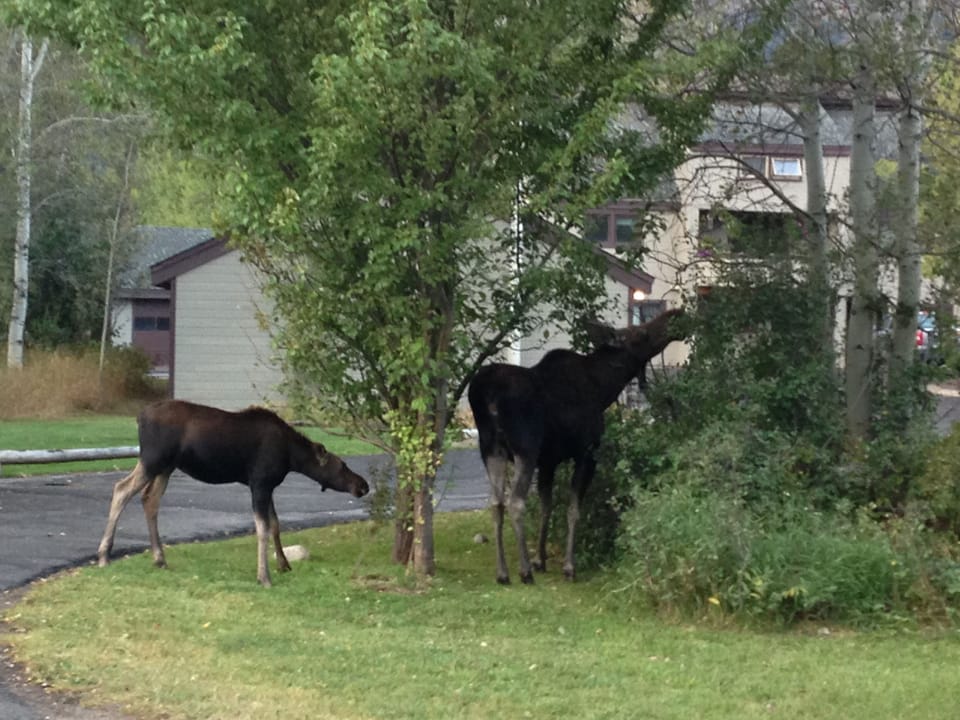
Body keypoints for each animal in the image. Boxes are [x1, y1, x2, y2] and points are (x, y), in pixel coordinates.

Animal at [97, 400, 369, 586]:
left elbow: (275, 524)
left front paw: (283, 564)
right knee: (121, 489)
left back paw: (159, 558)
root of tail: (139, 417)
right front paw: (264, 576)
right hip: (153, 459)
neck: (292, 457)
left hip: (166, 466)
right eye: (342, 466)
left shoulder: (267, 485)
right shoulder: (260, 483)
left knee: (149, 499)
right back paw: (104, 556)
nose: (363, 485)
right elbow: (263, 528)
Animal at [467, 308, 684, 585]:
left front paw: (540, 559)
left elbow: (547, 506)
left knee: (496, 503)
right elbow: (573, 510)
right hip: (525, 447)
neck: (605, 389)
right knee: (515, 501)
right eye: (641, 333)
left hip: (490, 448)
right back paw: (524, 571)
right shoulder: (587, 453)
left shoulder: (548, 460)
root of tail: (486, 395)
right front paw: (567, 566)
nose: (676, 314)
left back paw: (503, 572)